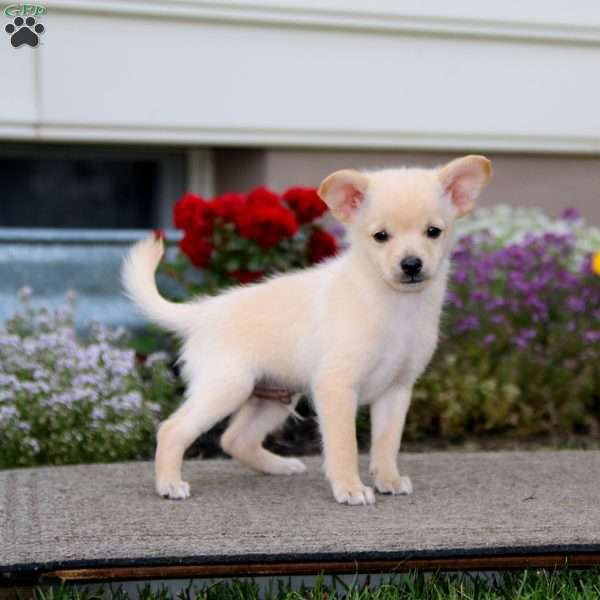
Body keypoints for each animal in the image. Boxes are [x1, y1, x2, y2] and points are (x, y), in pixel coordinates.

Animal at [123, 155, 492, 506]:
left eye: (433, 231)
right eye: (380, 236)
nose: (411, 265)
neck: (393, 303)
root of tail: (201, 312)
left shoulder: (396, 390)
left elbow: (387, 442)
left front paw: (388, 479)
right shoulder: (337, 387)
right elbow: (345, 445)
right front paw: (349, 488)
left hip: (272, 397)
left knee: (234, 438)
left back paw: (279, 465)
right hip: (228, 387)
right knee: (172, 429)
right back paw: (169, 484)